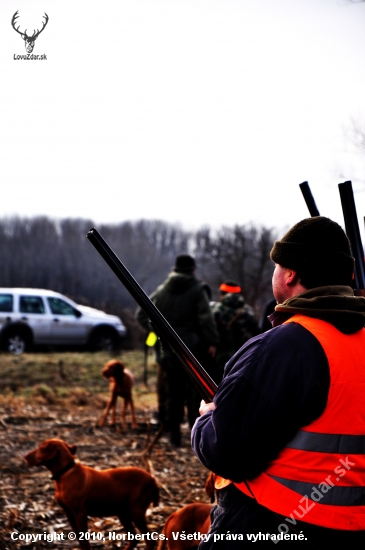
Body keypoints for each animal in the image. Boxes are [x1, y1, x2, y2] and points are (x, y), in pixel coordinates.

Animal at [23, 440, 158, 550]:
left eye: (40, 448)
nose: (25, 457)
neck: (66, 472)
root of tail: (152, 478)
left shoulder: (80, 514)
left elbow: (84, 540)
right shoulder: (69, 513)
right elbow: (79, 539)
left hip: (136, 512)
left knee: (150, 541)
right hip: (123, 514)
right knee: (134, 539)